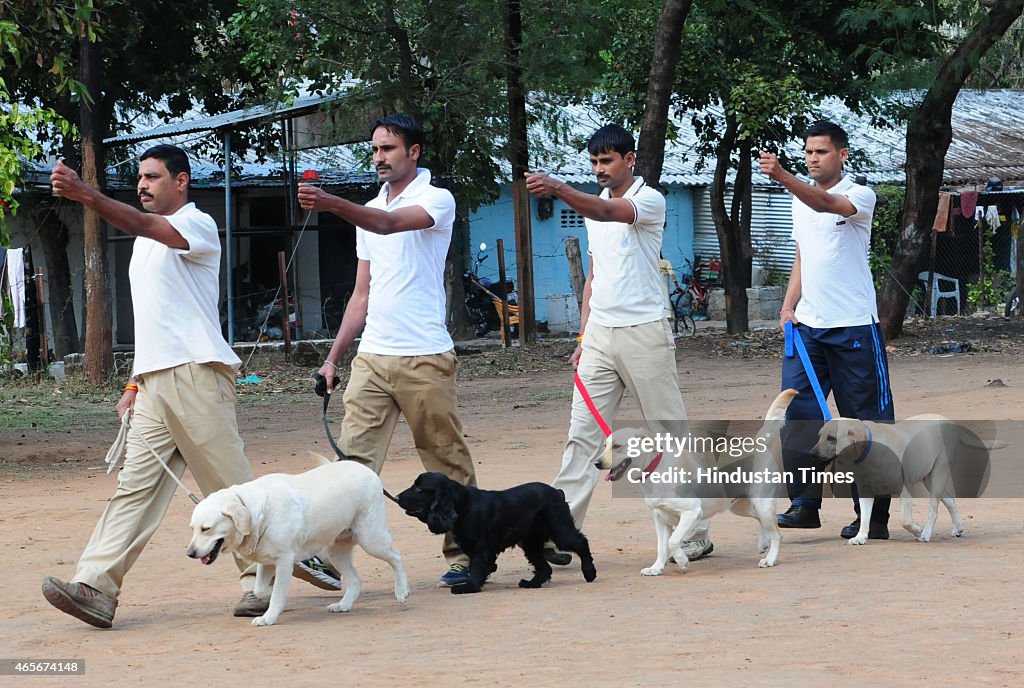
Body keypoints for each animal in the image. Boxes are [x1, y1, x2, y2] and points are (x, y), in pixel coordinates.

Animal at [593, 387, 798, 573]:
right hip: (742, 506)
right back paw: (764, 543)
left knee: (777, 534)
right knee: (763, 523)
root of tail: (757, 443)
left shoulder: (691, 512)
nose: (596, 463)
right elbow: (661, 547)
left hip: (762, 503)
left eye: (617, 446)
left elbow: (673, 541)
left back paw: (770, 558)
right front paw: (656, 568)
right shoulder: (661, 519)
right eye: (605, 446)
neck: (656, 469)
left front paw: (682, 561)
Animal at [806, 415, 999, 544]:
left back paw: (926, 533)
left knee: (934, 509)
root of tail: (949, 421)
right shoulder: (866, 491)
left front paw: (918, 529)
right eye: (819, 436)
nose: (811, 455)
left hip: (939, 472)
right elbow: (866, 516)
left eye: (832, 438)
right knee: (949, 499)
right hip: (928, 478)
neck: (870, 450)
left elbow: (905, 520)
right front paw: (860, 537)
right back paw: (957, 527)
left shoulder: (906, 489)